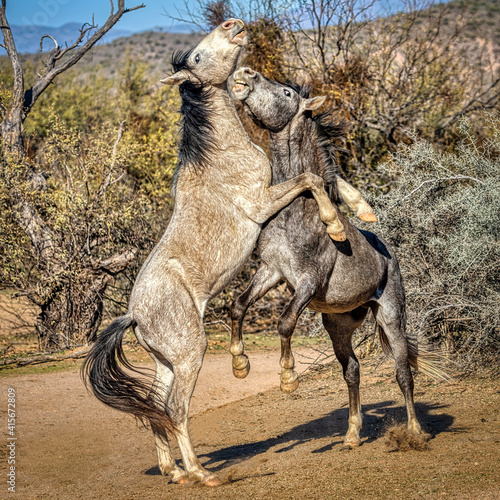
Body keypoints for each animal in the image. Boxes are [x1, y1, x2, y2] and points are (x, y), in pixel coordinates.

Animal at [83, 21, 348, 486]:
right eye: (197, 58)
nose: (233, 25)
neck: (222, 154)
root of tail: (134, 314)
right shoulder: (262, 201)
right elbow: (311, 179)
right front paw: (334, 224)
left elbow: (313, 179)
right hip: (191, 355)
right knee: (175, 409)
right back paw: (202, 473)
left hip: (165, 362)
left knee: (156, 408)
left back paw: (173, 471)